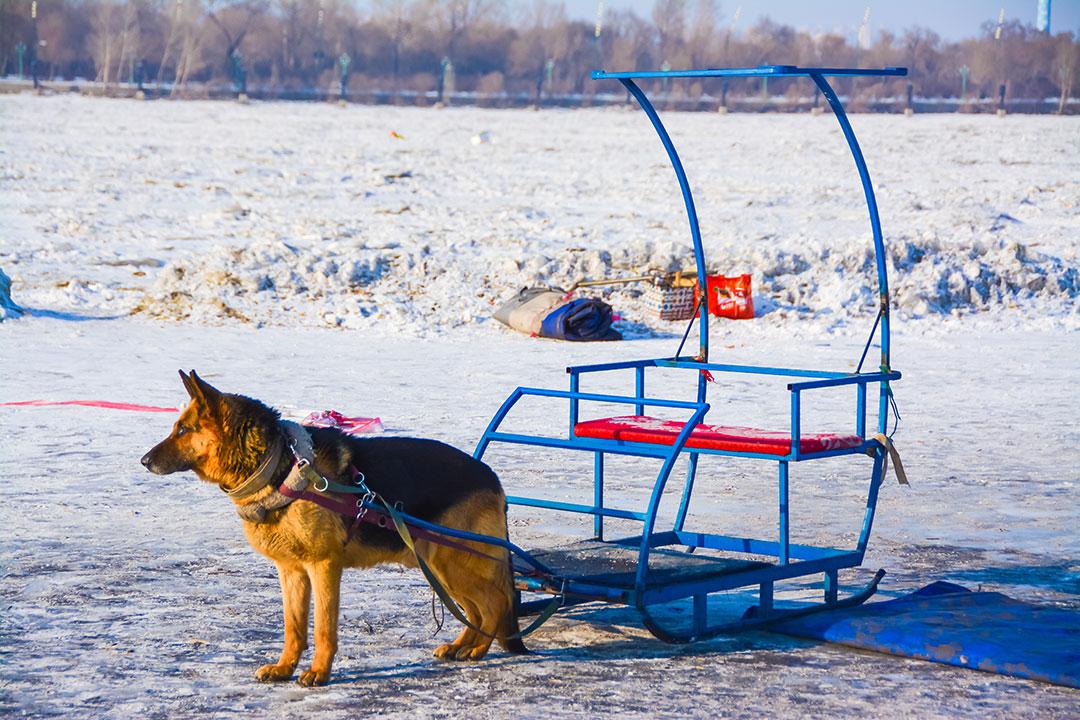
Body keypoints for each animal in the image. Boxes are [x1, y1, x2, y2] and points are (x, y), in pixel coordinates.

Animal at [141, 371, 524, 686]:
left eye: (183, 430)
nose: (144, 460)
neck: (278, 465)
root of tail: (491, 477)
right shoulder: (291, 571)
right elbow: (294, 627)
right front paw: (285, 667)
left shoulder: (323, 567)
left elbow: (323, 627)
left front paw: (318, 673)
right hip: (439, 567)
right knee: (476, 609)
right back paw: (463, 646)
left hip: (449, 562)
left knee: (495, 601)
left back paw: (478, 650)